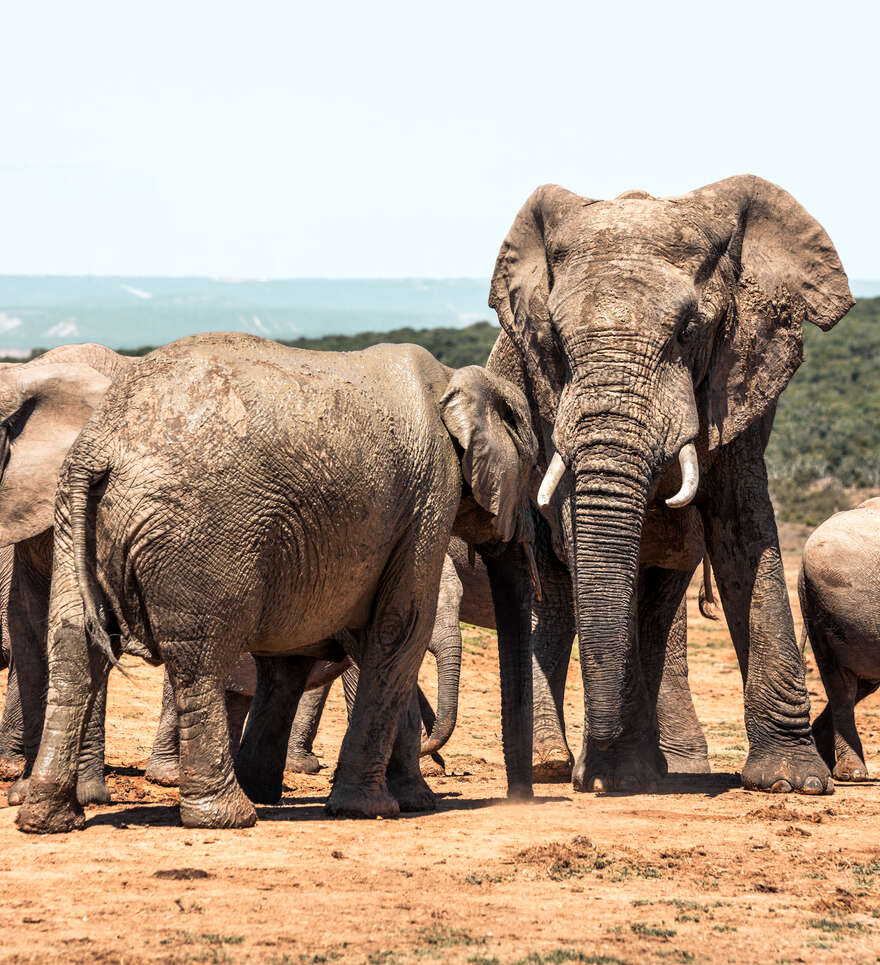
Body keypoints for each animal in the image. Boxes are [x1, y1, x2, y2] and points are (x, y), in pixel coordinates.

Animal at [482, 173, 852, 800]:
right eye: (553, 338)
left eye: (688, 331)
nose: (592, 774)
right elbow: (584, 544)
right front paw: (614, 776)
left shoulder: (737, 381)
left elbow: (744, 533)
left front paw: (791, 782)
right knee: (555, 598)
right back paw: (560, 767)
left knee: (655, 602)